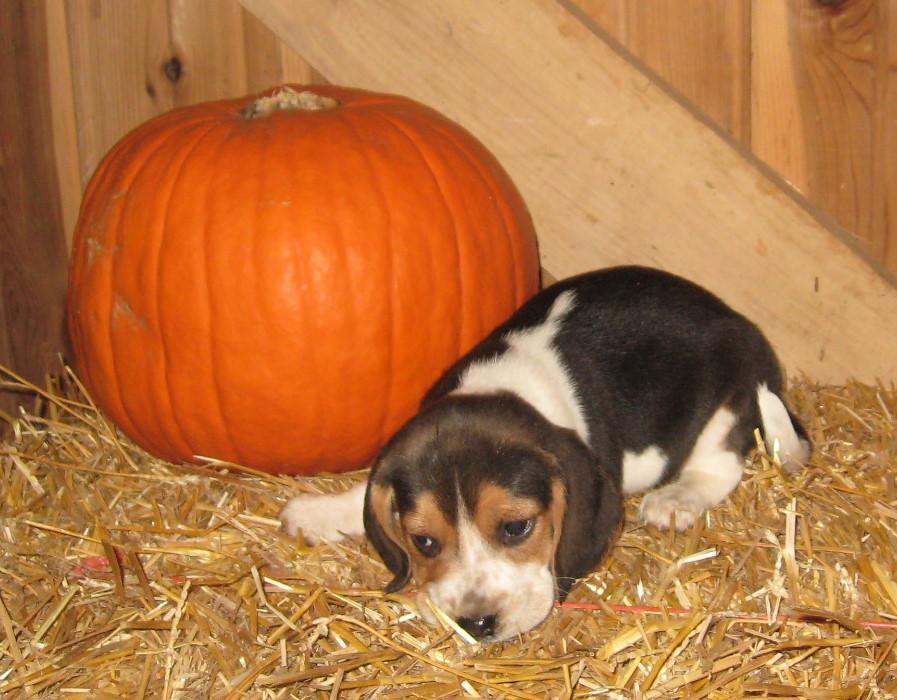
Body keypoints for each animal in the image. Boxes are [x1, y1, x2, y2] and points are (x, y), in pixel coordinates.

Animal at [282, 266, 812, 644]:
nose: (477, 625)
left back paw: (677, 499)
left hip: (729, 402)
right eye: (424, 542)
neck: (500, 384)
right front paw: (319, 512)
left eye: (516, 528)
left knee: (720, 464)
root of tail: (740, 323)